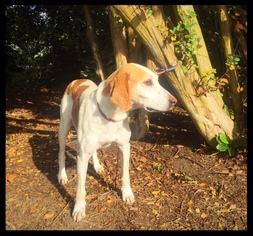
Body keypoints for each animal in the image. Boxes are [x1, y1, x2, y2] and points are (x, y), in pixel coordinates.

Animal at [57, 62, 177, 221]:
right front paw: (79, 208)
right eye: (147, 82)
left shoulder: (125, 147)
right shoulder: (81, 157)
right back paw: (62, 175)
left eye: (157, 81)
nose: (174, 101)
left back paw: (97, 166)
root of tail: (77, 80)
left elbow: (125, 175)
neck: (111, 116)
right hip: (64, 128)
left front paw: (127, 194)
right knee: (61, 153)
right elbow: (80, 187)